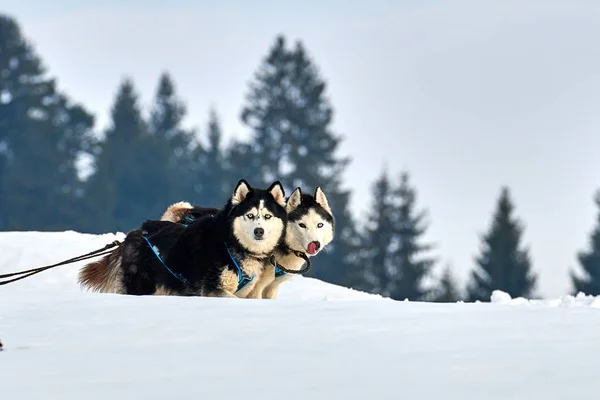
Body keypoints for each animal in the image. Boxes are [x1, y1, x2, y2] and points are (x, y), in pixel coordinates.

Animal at [78, 178, 288, 296]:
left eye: (267, 216)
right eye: (250, 215)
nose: (259, 231)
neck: (229, 243)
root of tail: (136, 232)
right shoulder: (212, 289)